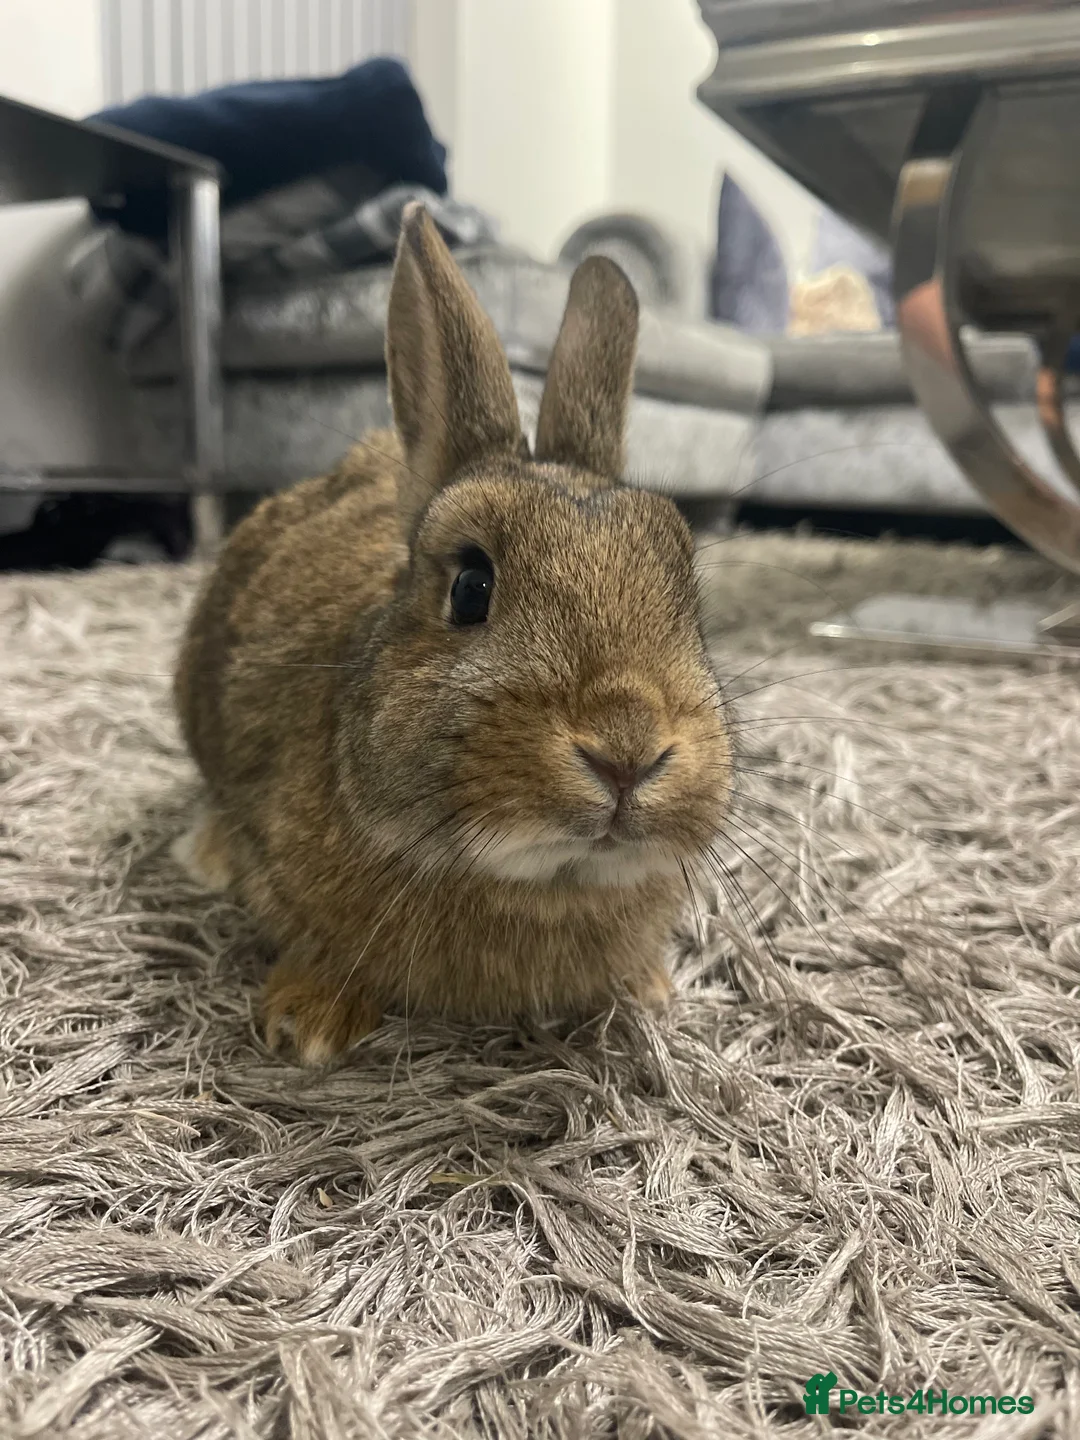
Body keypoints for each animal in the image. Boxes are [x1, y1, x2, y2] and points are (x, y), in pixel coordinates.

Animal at [174, 203, 732, 1064]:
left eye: (685, 593)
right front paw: (308, 1025)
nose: (627, 751)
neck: (542, 885)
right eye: (472, 586)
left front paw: (648, 989)